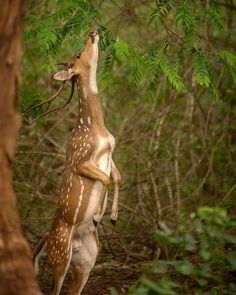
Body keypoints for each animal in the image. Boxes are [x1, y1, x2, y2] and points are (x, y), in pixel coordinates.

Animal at [30, 31, 121, 294]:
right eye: (79, 54)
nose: (92, 32)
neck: (96, 130)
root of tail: (47, 239)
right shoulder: (80, 159)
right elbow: (105, 178)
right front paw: (98, 215)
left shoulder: (111, 152)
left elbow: (117, 176)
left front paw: (113, 216)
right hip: (60, 255)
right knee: (54, 289)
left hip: (87, 260)